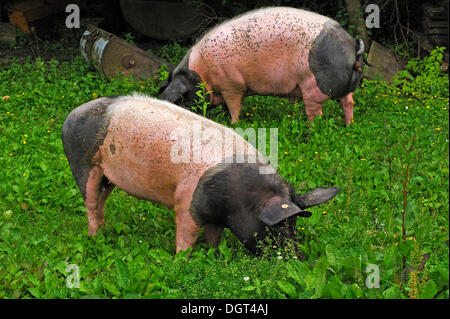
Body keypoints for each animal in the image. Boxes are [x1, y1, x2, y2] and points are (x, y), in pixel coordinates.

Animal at [61, 95, 340, 258]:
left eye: (295, 225)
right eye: (278, 227)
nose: (297, 260)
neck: (240, 198)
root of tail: (73, 113)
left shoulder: (216, 216)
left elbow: (214, 236)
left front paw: (214, 255)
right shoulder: (186, 203)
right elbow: (187, 236)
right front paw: (181, 261)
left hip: (108, 178)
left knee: (101, 202)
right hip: (82, 164)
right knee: (90, 203)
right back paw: (94, 238)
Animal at [160, 5, 364, 126]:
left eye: (182, 98)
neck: (202, 74)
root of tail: (353, 47)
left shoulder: (232, 85)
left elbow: (234, 105)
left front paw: (233, 124)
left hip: (313, 86)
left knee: (316, 112)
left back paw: (310, 130)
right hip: (344, 87)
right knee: (348, 102)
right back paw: (348, 126)